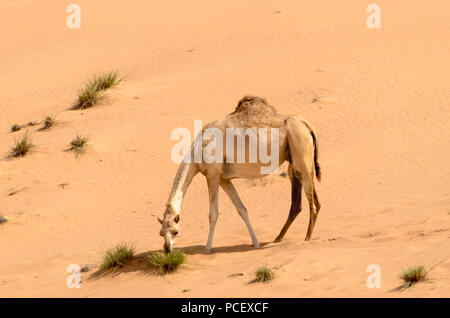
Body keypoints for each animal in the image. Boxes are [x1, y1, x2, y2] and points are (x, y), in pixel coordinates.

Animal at [158, 95, 320, 252]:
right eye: (161, 233)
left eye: (175, 231)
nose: (167, 249)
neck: (197, 150)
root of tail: (307, 125)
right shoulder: (224, 179)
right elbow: (242, 209)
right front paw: (255, 243)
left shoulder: (212, 175)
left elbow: (213, 214)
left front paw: (207, 248)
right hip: (295, 161)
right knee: (300, 200)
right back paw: (278, 238)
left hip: (300, 151)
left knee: (312, 201)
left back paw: (307, 238)